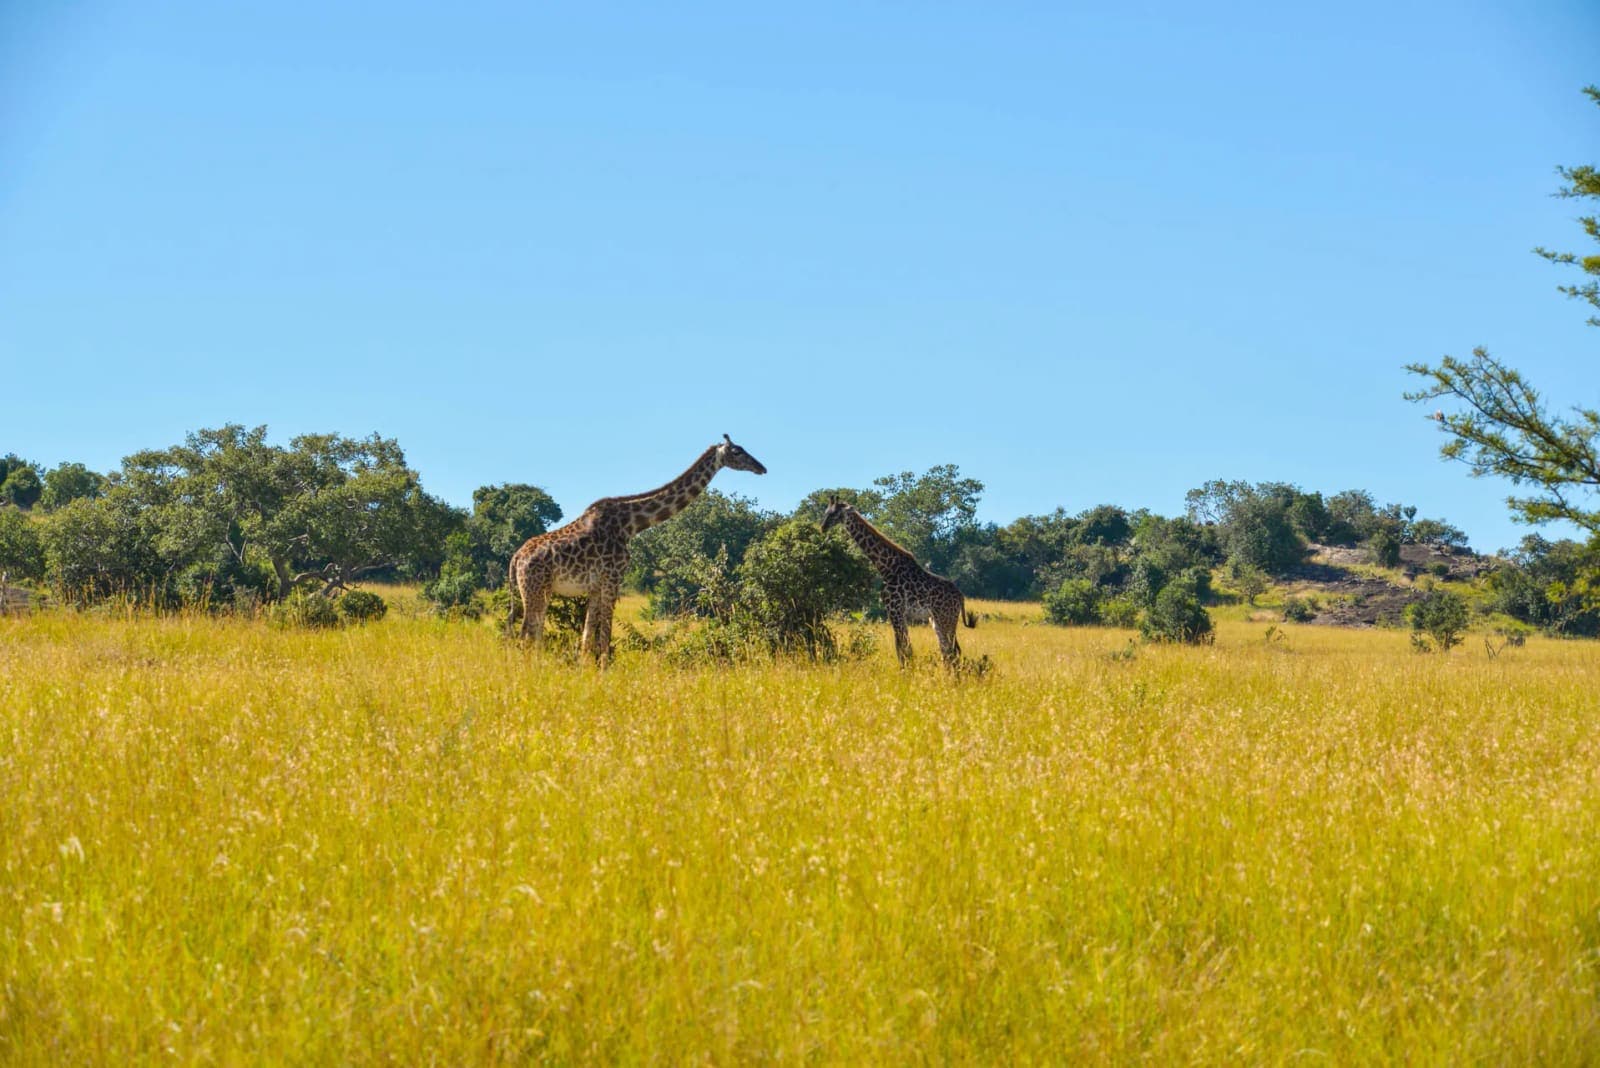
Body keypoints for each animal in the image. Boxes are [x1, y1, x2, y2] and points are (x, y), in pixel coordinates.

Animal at [508, 435, 767, 662]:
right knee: (525, 634)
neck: (630, 525)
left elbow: (587, 638)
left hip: (540, 590)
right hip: (534, 589)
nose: (762, 467)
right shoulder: (613, 578)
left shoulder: (595, 586)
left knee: (533, 633)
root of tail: (516, 558)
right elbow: (605, 636)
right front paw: (604, 673)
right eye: (737, 451)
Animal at [820, 499, 976, 667]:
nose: (822, 527)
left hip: (945, 618)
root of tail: (961, 596)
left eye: (835, 514)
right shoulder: (898, 612)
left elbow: (903, 649)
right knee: (948, 651)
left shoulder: (894, 609)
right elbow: (904, 648)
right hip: (937, 620)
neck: (886, 566)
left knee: (953, 651)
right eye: (826, 512)